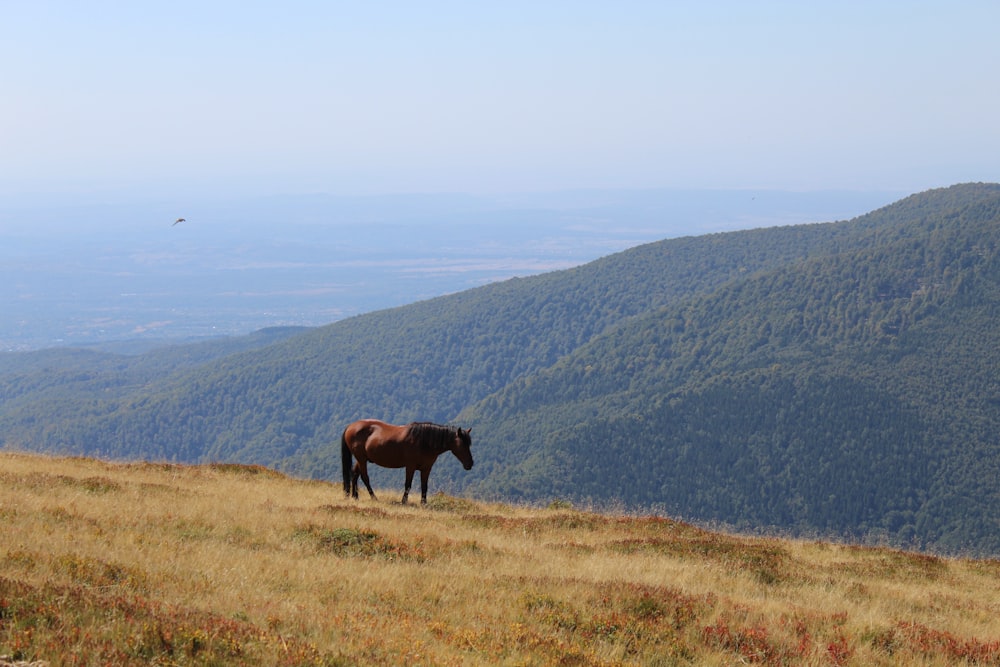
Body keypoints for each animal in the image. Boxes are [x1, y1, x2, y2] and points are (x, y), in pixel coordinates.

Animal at [340, 420, 472, 504]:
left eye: (469, 444)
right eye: (462, 445)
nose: (470, 464)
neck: (424, 442)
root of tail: (351, 426)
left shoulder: (426, 468)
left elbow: (424, 485)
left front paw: (424, 503)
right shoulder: (410, 467)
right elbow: (408, 485)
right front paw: (404, 501)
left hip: (361, 459)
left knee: (355, 474)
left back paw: (354, 496)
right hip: (362, 459)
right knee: (364, 477)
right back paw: (373, 498)